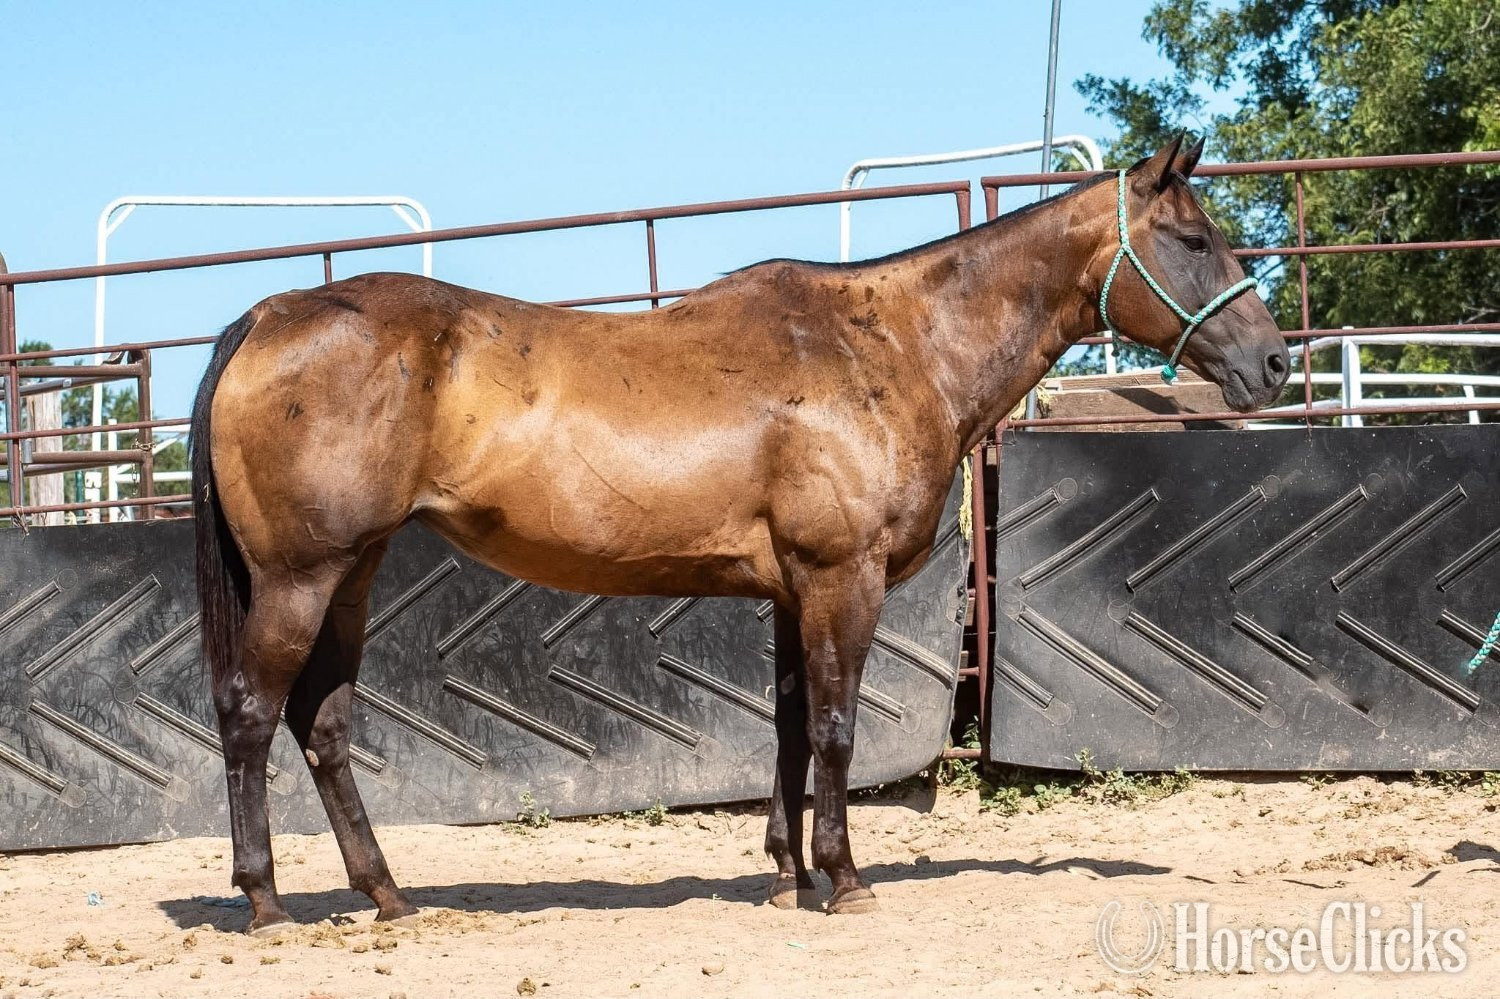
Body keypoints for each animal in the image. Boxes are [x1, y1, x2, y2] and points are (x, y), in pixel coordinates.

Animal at [191, 135, 1290, 934]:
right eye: (1195, 240)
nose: (1275, 365)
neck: (892, 345)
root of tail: (269, 314)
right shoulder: (841, 579)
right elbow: (839, 731)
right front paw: (844, 881)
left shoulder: (793, 590)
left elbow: (794, 731)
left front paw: (786, 875)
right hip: (301, 577)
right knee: (250, 713)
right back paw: (266, 899)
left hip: (353, 574)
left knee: (323, 725)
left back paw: (386, 893)